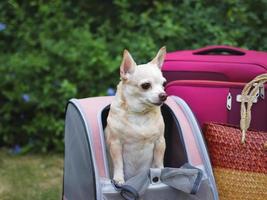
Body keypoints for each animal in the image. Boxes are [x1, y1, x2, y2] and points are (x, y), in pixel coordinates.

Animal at [105, 47, 166, 184]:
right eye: (146, 85)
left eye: (163, 84)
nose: (164, 95)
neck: (140, 113)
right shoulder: (115, 144)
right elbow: (118, 163)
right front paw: (119, 178)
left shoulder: (160, 142)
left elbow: (158, 161)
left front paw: (162, 172)